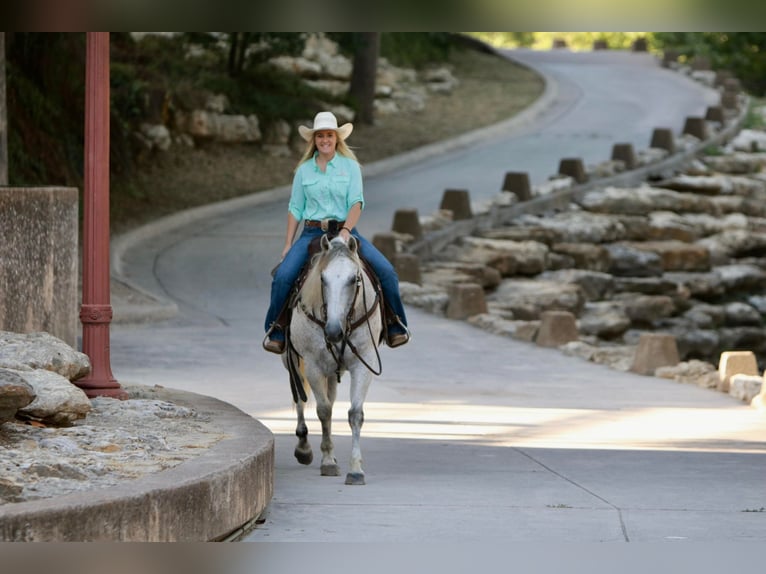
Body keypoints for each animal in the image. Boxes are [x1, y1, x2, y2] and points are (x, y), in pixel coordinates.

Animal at [284, 235, 384, 486]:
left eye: (354, 279)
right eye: (322, 278)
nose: (333, 332)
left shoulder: (363, 362)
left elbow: (355, 413)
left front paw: (355, 470)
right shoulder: (313, 365)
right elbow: (324, 411)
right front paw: (328, 461)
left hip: (331, 371)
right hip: (290, 359)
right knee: (298, 396)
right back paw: (303, 446)